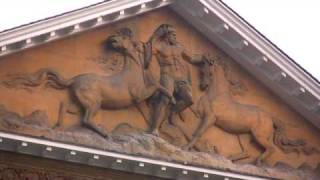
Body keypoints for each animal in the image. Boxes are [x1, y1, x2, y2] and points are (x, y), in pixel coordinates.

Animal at [3, 27, 175, 138]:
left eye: (125, 38)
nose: (111, 38)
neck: (132, 72)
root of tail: (74, 79)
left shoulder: (140, 99)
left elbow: (154, 94)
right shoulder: (139, 96)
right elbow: (158, 86)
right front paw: (172, 98)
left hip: (79, 102)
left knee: (65, 106)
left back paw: (58, 127)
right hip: (94, 103)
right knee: (86, 119)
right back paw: (105, 134)